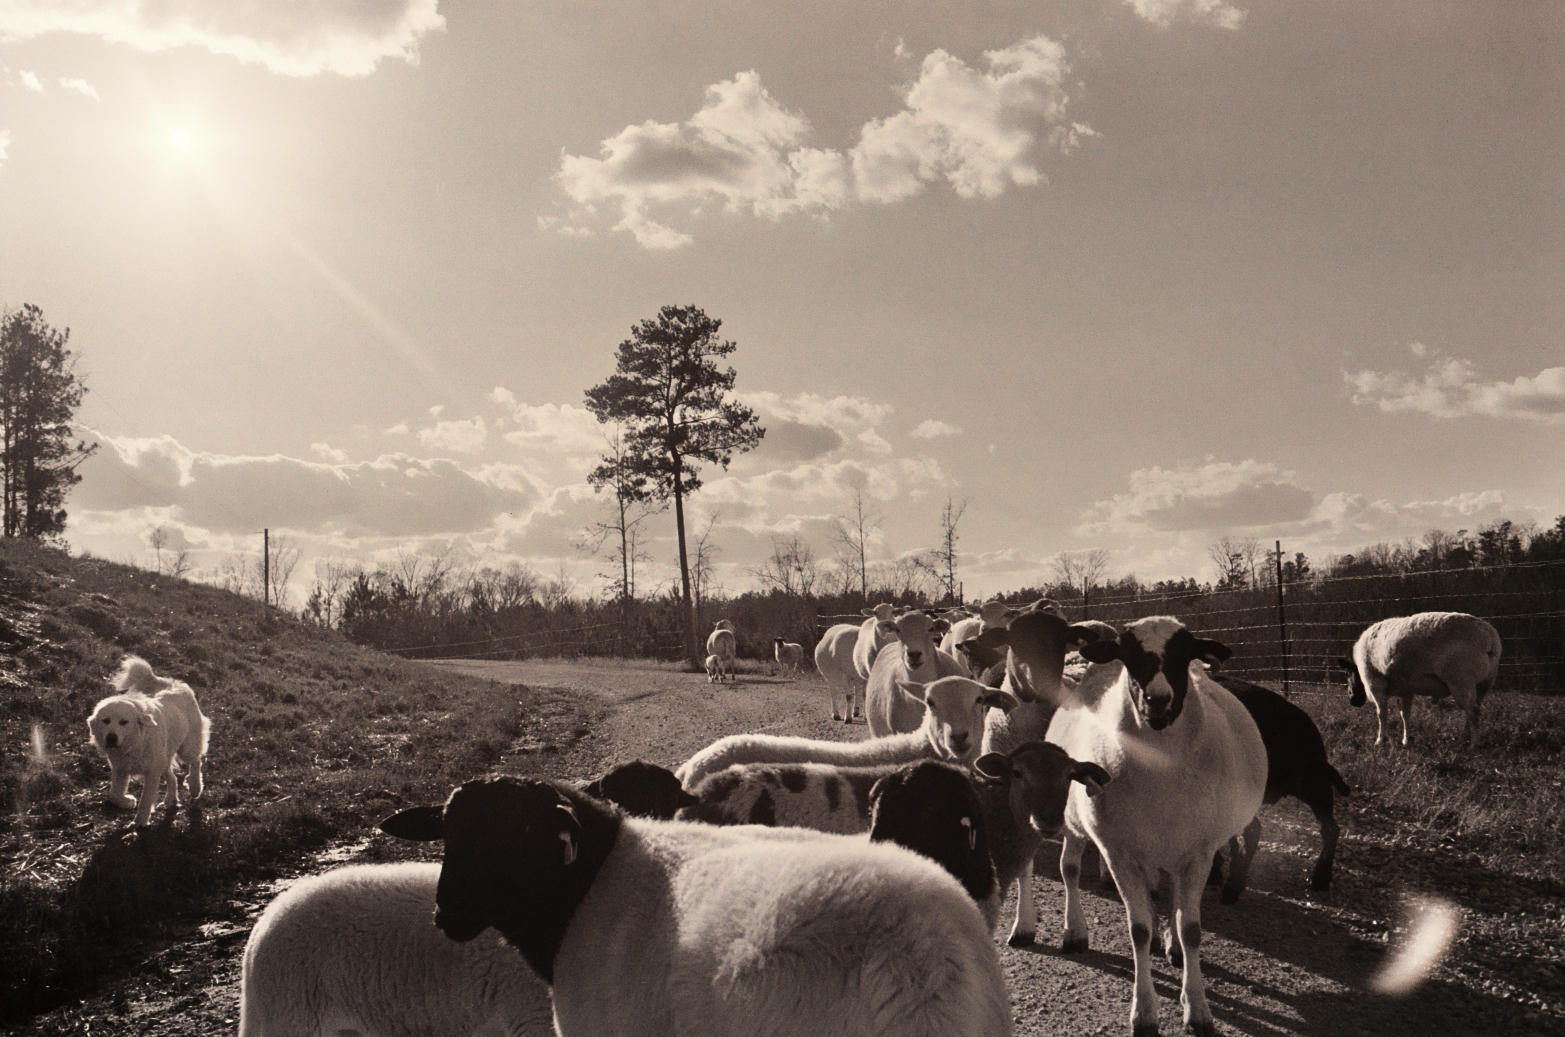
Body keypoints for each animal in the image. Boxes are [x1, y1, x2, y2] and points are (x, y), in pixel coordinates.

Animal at [88, 656, 211, 826]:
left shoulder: (152, 773)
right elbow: (114, 795)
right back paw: (170, 799)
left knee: (196, 761)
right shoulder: (121, 769)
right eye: (106, 721)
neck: (136, 743)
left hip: (187, 747)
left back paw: (195, 786)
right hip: (164, 759)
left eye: (124, 722)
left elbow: (145, 800)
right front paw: (128, 802)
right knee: (173, 778)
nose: (111, 738)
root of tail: (175, 684)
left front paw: (139, 823)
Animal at [1049, 616, 1267, 1037]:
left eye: (1185, 654)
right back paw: (1075, 931)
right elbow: (1138, 930)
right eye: (1129, 655)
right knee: (1069, 869)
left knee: (1171, 898)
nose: (1158, 700)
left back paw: (1173, 946)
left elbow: (1191, 927)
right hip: (1076, 820)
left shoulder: (1198, 853)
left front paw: (1197, 1008)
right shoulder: (1119, 854)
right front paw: (1144, 1013)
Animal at [1336, 611, 1501, 747]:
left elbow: (1382, 713)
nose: (1353, 700)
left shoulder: (1375, 683)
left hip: (1461, 680)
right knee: (1473, 710)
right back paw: (1462, 741)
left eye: (1347, 673)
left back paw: (1474, 745)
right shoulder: (1406, 690)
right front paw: (1406, 741)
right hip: (1483, 684)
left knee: (1473, 711)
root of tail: (1490, 638)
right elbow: (1405, 715)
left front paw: (1380, 741)